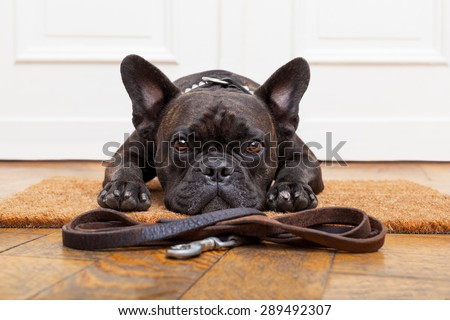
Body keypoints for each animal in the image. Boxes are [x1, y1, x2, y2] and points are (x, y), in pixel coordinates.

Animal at [98, 55, 324, 215]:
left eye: (253, 146)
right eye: (181, 144)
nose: (216, 168)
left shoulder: (305, 157)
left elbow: (296, 167)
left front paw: (292, 189)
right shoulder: (129, 151)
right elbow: (125, 165)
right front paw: (125, 187)